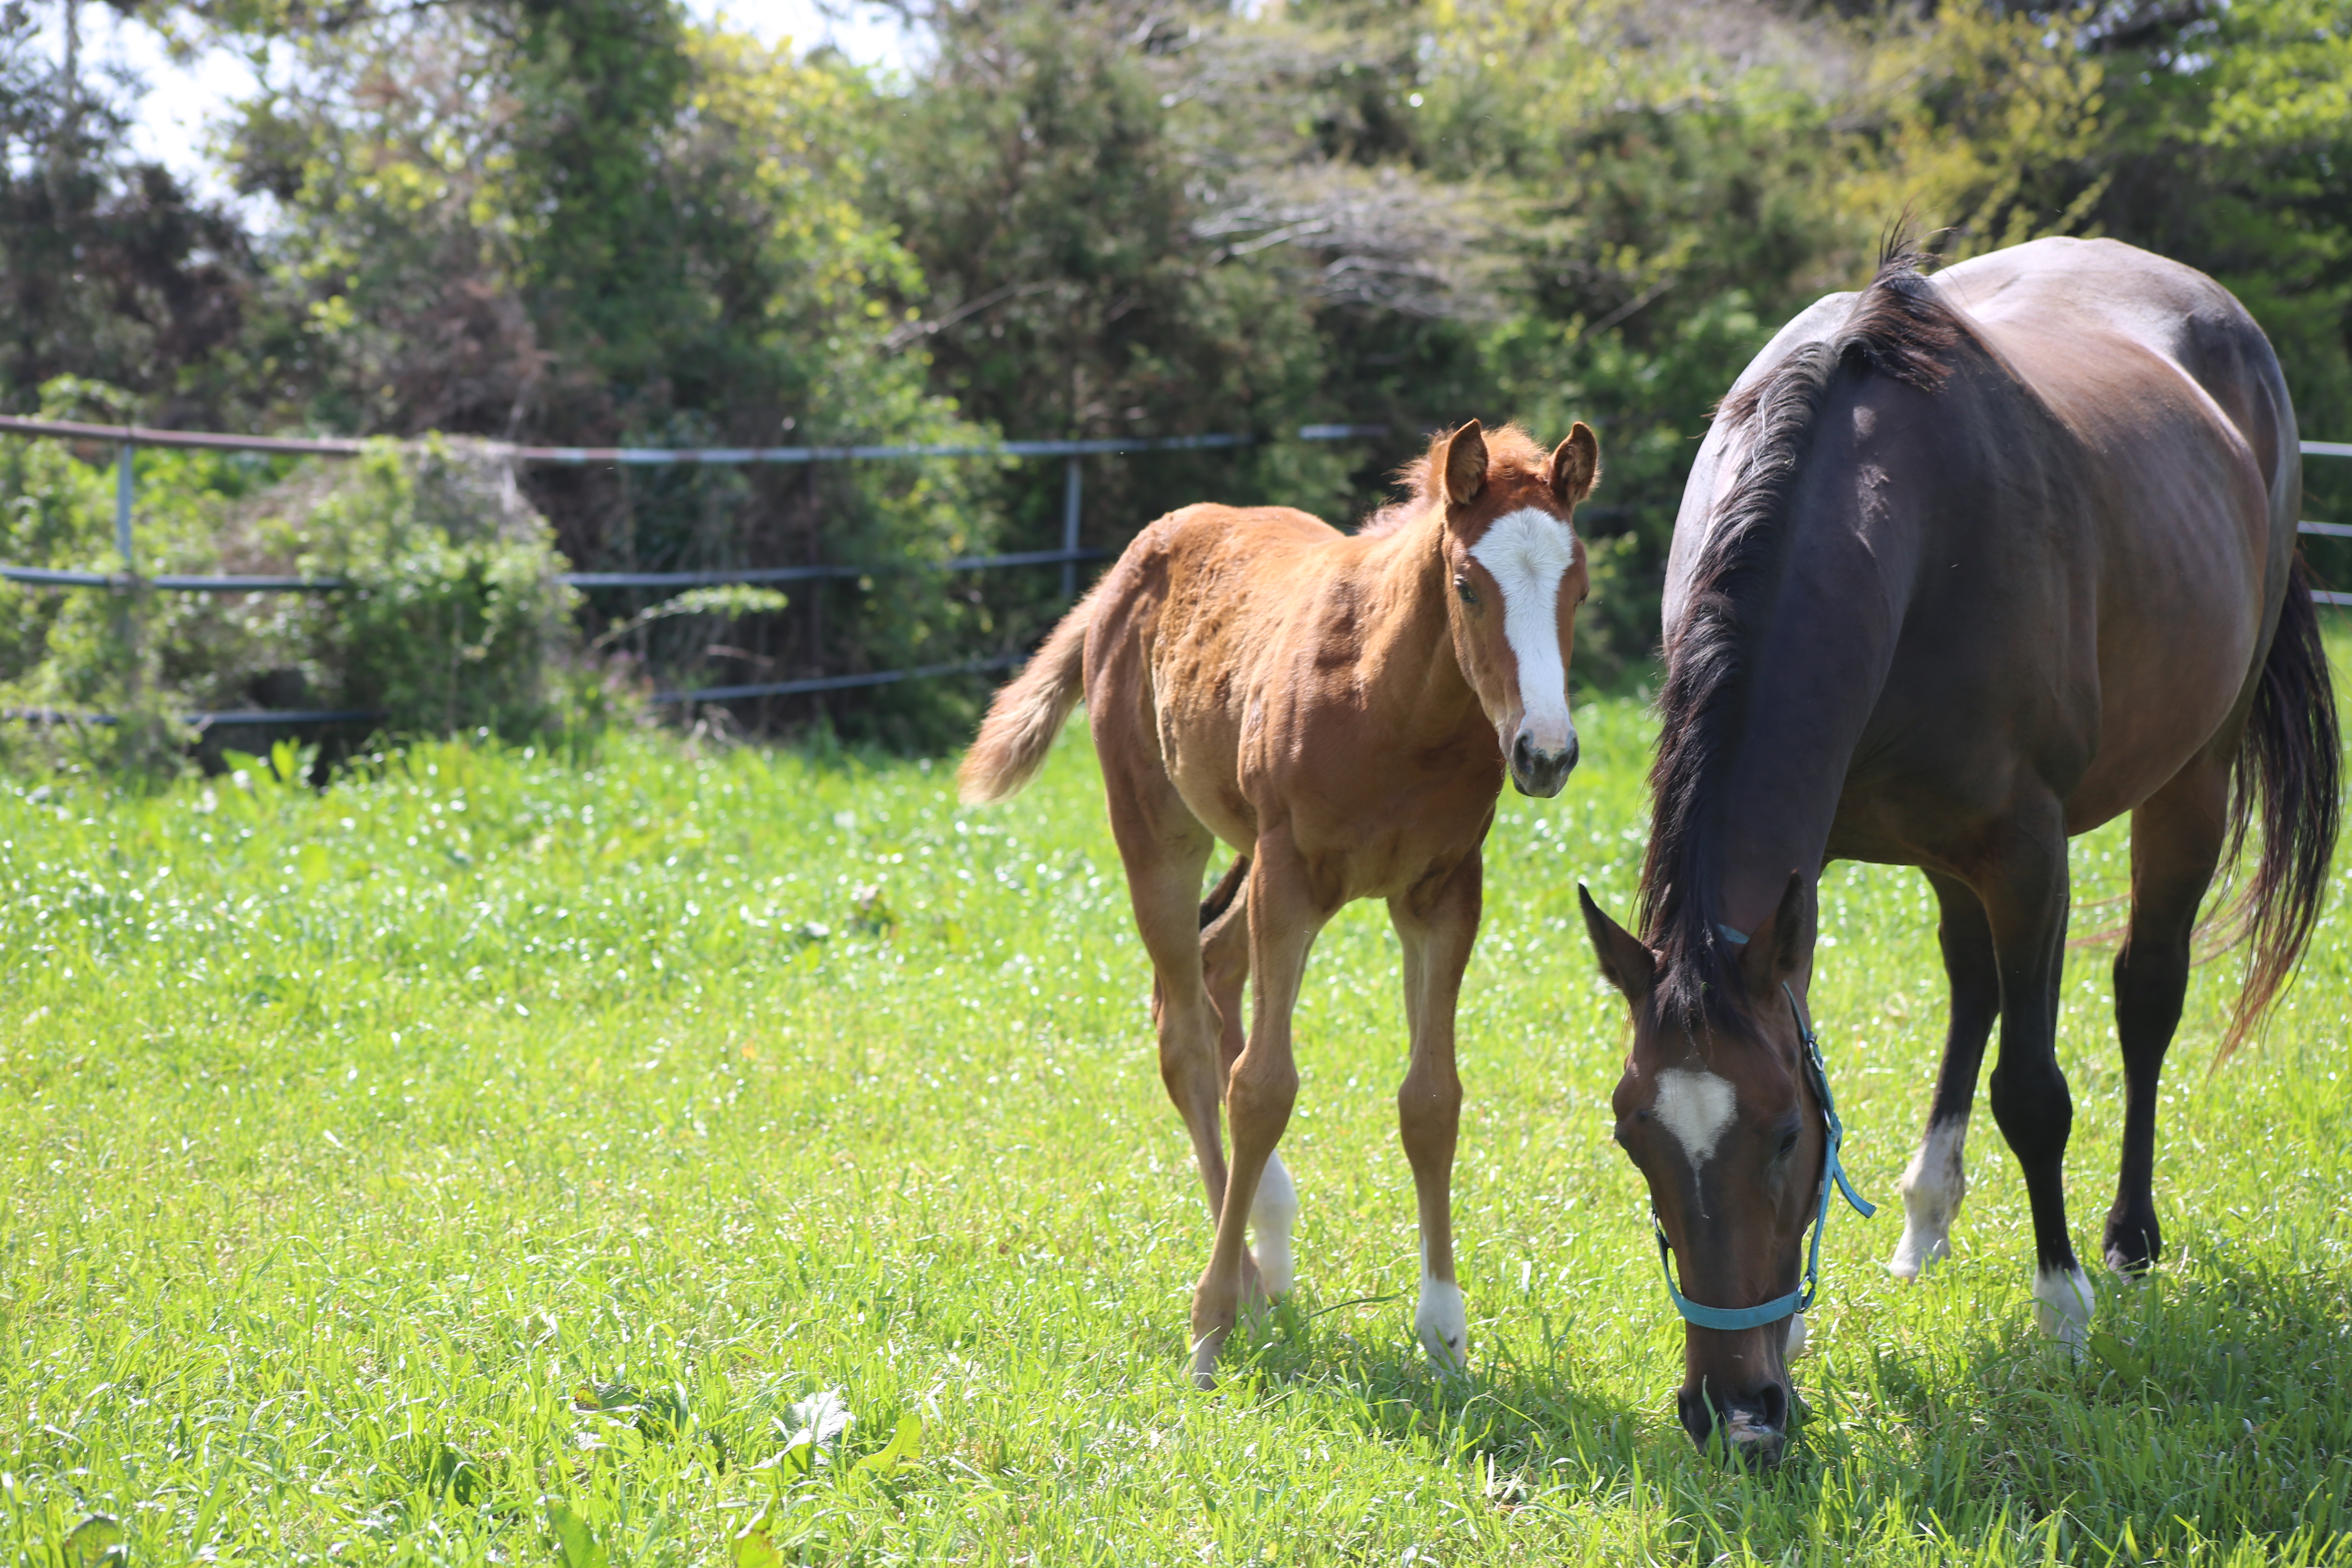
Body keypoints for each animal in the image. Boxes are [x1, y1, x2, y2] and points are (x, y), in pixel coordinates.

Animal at [955, 421, 1599, 1382]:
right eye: (1467, 587)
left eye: (1578, 587)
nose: (1545, 753)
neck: (1392, 707)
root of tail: (1132, 561)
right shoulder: (1291, 875)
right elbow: (1262, 1089)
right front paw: (1210, 1326)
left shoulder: (1443, 894)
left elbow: (1432, 1100)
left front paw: (1445, 1334)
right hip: (1163, 835)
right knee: (1185, 1036)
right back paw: (1251, 1286)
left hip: (1256, 865)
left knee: (1213, 975)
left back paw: (1272, 1232)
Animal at [1580, 240, 2333, 1467]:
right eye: (1633, 1137)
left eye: (1783, 1137)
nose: (1734, 1415)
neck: (1896, 520)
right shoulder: (1818, 876)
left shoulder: (2027, 854)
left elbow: (2032, 1089)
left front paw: (2062, 1313)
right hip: (1939, 847)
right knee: (1971, 983)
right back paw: (1926, 1215)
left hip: (2190, 774)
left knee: (2145, 994)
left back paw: (2127, 1237)